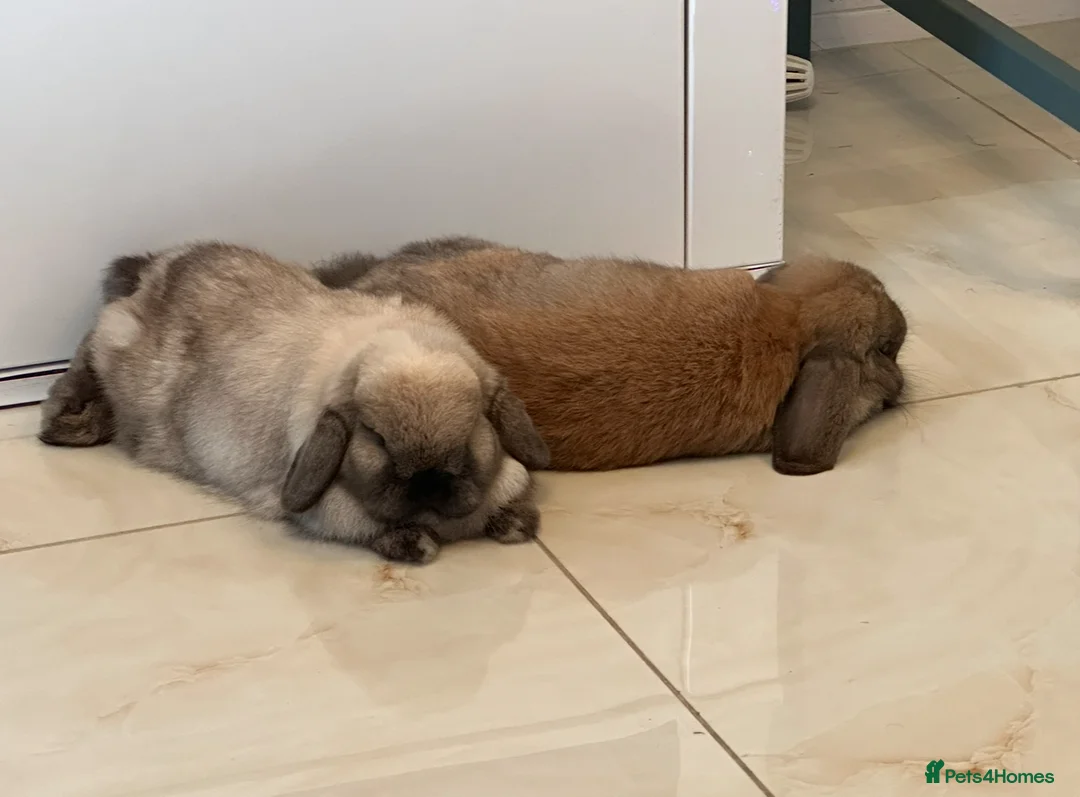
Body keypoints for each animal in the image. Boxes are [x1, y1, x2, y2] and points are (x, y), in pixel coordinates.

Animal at [40, 241, 550, 563]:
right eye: (376, 438)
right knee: (89, 348)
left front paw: (517, 522)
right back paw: (66, 423)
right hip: (120, 355)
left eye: (471, 431)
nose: (428, 482)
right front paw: (416, 545)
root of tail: (159, 270)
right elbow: (365, 527)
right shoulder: (329, 512)